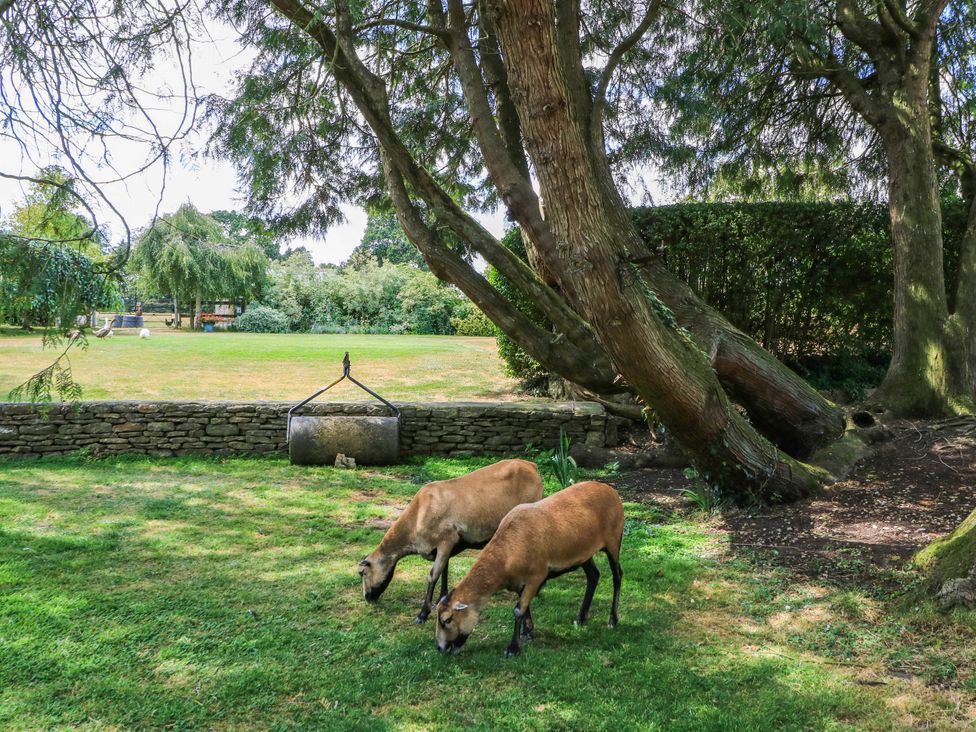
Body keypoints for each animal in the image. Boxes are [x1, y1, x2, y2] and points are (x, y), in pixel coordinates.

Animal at [358, 458, 544, 623]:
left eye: (363, 573)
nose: (367, 598)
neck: (416, 517)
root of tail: (531, 465)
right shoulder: (445, 547)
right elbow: (444, 570)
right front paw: (441, 598)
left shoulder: (447, 540)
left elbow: (433, 575)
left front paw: (422, 614)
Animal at [434, 480, 624, 657]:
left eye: (447, 619)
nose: (440, 648)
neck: (507, 551)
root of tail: (610, 489)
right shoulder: (519, 582)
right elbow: (524, 608)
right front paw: (527, 632)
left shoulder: (537, 576)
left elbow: (518, 610)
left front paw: (513, 648)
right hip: (583, 552)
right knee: (593, 575)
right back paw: (580, 618)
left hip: (614, 541)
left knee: (617, 576)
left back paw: (612, 620)